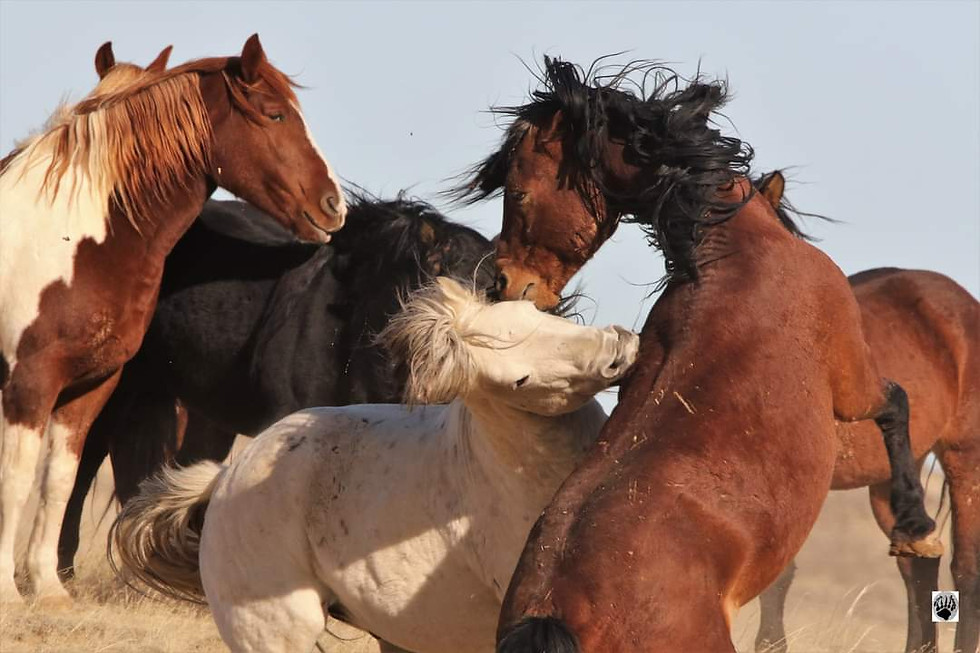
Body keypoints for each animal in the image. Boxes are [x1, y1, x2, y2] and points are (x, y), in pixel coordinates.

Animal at [0, 34, 346, 606]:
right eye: (274, 114)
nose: (333, 205)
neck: (73, 240)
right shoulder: (29, 382)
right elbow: (17, 479)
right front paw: (8, 590)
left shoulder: (90, 386)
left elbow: (58, 480)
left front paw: (48, 589)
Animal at [455, 57, 943, 652]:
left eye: (518, 192)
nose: (503, 282)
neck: (730, 247)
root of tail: (551, 611)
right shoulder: (852, 383)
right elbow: (897, 404)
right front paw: (915, 528)